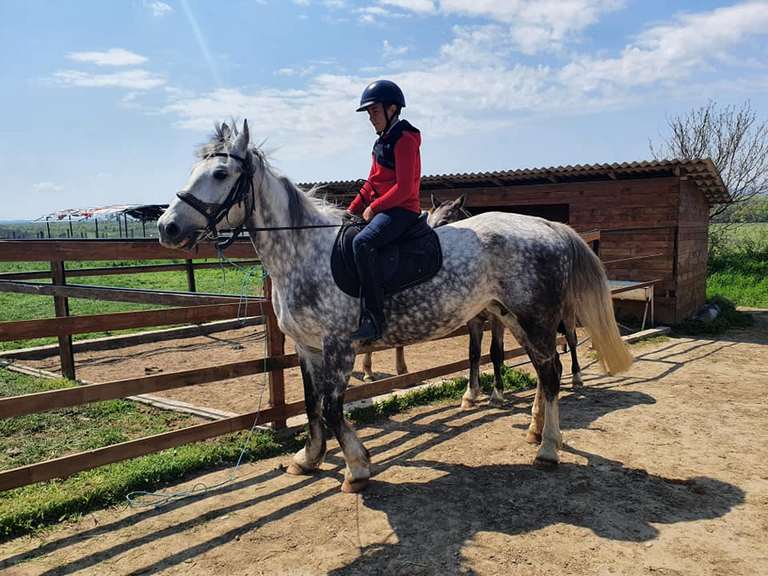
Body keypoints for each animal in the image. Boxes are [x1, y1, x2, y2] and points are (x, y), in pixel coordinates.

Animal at [156, 119, 632, 492]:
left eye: (220, 173)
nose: (166, 227)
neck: (305, 252)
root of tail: (548, 226)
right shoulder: (306, 348)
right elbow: (312, 406)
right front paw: (308, 459)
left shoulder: (339, 346)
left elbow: (333, 409)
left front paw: (357, 467)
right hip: (515, 319)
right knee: (545, 370)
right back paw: (536, 432)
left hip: (535, 318)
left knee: (551, 374)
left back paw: (548, 449)